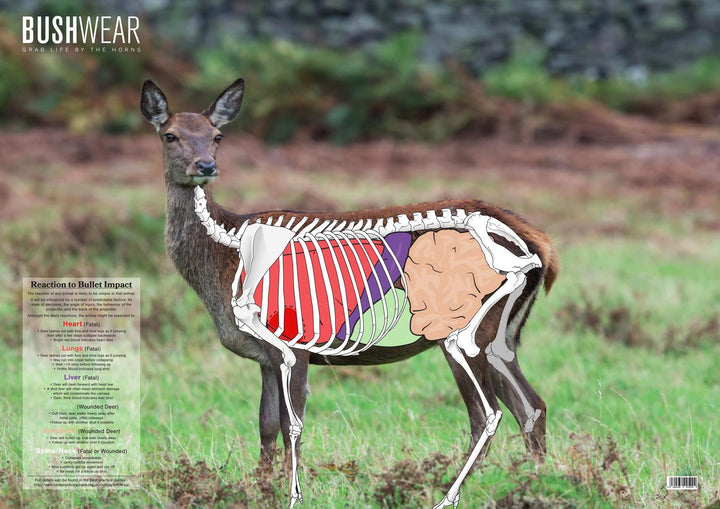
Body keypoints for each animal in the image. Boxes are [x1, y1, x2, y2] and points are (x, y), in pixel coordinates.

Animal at [141, 78, 559, 509]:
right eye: (170, 135)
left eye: (217, 136)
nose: (205, 166)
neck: (225, 263)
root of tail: (539, 245)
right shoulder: (264, 356)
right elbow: (266, 424)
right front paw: (260, 488)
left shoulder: (295, 344)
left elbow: (292, 424)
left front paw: (291, 492)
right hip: (501, 335)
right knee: (532, 406)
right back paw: (534, 482)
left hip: (461, 329)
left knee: (485, 414)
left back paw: (453, 493)